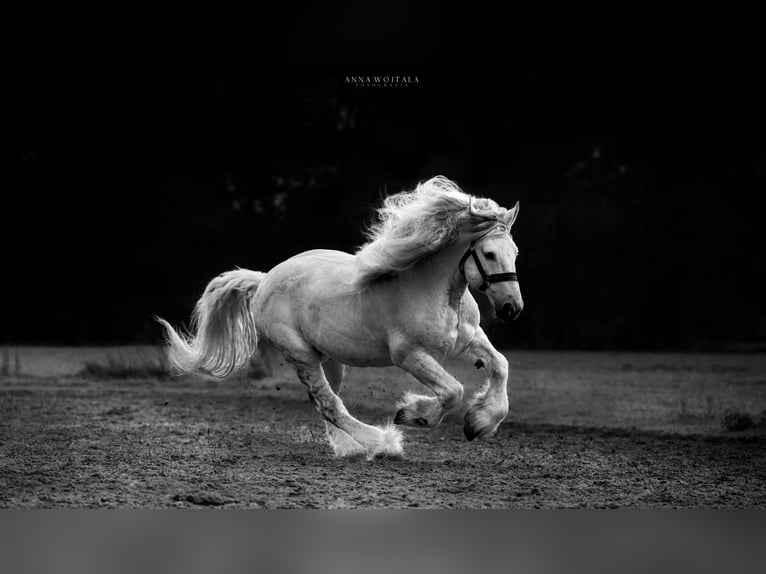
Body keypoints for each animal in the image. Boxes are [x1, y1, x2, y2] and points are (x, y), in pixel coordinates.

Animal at [157, 176, 523, 459]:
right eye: (489, 253)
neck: (442, 296)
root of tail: (263, 280)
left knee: (324, 403)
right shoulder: (409, 355)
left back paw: (350, 448)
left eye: (515, 252)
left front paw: (480, 423)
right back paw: (381, 444)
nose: (512, 308)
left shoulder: (470, 340)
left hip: (331, 359)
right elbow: (453, 391)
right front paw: (412, 415)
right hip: (300, 354)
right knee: (329, 403)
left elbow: (501, 365)